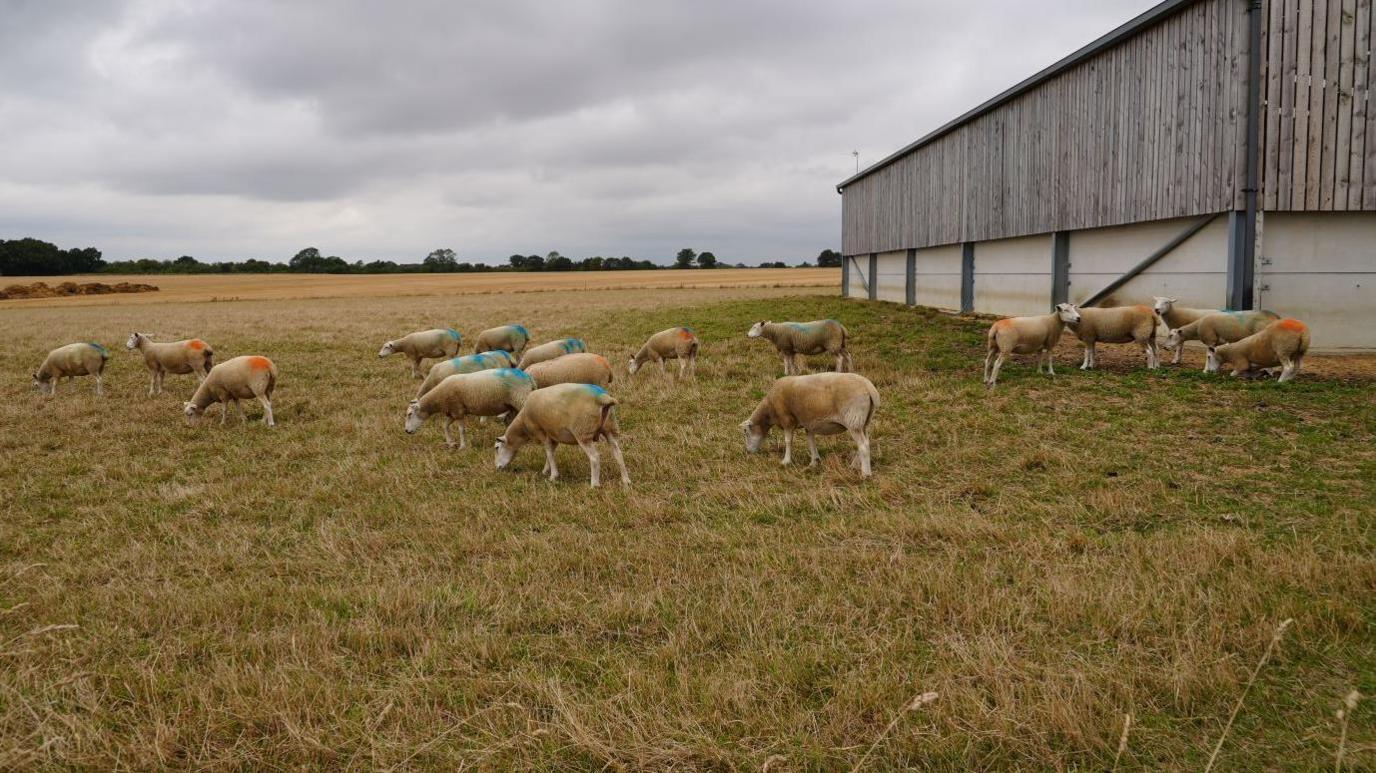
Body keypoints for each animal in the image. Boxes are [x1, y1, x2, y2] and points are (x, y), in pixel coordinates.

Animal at [401, 365, 531, 445]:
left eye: (410, 414)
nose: (406, 431)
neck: (438, 398)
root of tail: (528, 378)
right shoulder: (452, 412)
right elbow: (445, 426)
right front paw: (451, 443)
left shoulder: (458, 411)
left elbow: (461, 430)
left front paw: (463, 447)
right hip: (512, 405)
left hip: (521, 398)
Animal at [495, 379, 630, 486]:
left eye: (497, 447)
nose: (497, 468)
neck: (523, 422)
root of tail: (603, 398)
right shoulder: (553, 435)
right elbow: (550, 453)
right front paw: (546, 470)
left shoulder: (540, 431)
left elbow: (549, 452)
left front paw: (553, 476)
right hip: (610, 428)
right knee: (618, 453)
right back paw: (626, 480)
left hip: (583, 432)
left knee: (595, 457)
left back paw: (594, 484)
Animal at [743, 368, 880, 473]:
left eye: (746, 433)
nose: (748, 452)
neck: (770, 409)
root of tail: (869, 387)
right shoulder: (809, 423)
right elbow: (811, 441)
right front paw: (814, 462)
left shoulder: (787, 420)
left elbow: (788, 441)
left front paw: (786, 461)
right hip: (863, 422)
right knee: (866, 442)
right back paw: (855, 465)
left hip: (853, 420)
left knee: (863, 445)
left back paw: (865, 473)